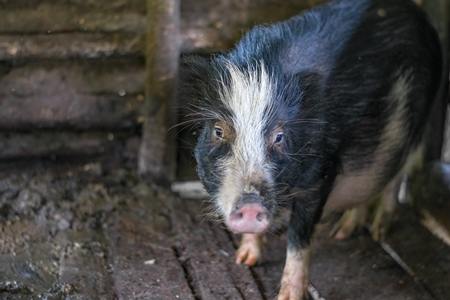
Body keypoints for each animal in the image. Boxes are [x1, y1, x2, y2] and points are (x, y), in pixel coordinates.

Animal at [178, 0, 442, 298]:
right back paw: (343, 232)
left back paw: (376, 232)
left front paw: (288, 296)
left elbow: (299, 237)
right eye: (218, 131)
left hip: (417, 120)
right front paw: (244, 260)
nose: (249, 204)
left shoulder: (320, 174)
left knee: (397, 172)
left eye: (279, 137)